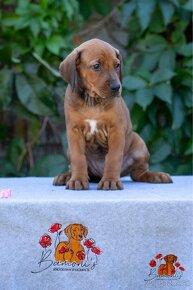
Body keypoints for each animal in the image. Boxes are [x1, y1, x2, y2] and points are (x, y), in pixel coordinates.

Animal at [53, 38, 173, 190]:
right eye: (96, 66)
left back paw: (156, 176)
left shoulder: (116, 130)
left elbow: (113, 157)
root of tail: (97, 174)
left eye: (117, 65)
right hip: (71, 151)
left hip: (139, 143)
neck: (92, 101)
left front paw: (110, 180)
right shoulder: (74, 131)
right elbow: (78, 158)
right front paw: (77, 180)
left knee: (139, 173)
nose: (117, 87)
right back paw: (66, 176)